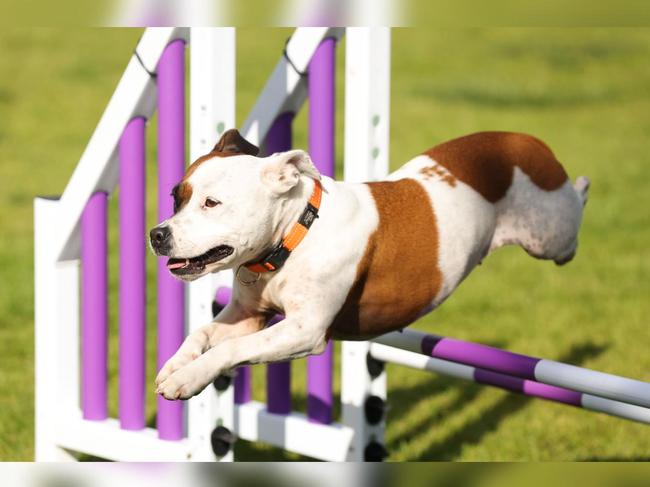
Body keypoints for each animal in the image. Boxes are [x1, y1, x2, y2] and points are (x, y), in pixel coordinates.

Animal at [148, 129, 588, 400]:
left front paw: (189, 379)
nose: (157, 235)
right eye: (176, 198)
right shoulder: (248, 314)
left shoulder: (304, 331)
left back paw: (583, 187)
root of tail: (525, 139)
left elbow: (233, 348)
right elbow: (203, 335)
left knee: (572, 216)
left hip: (550, 234)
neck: (296, 235)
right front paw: (176, 366)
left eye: (212, 203)